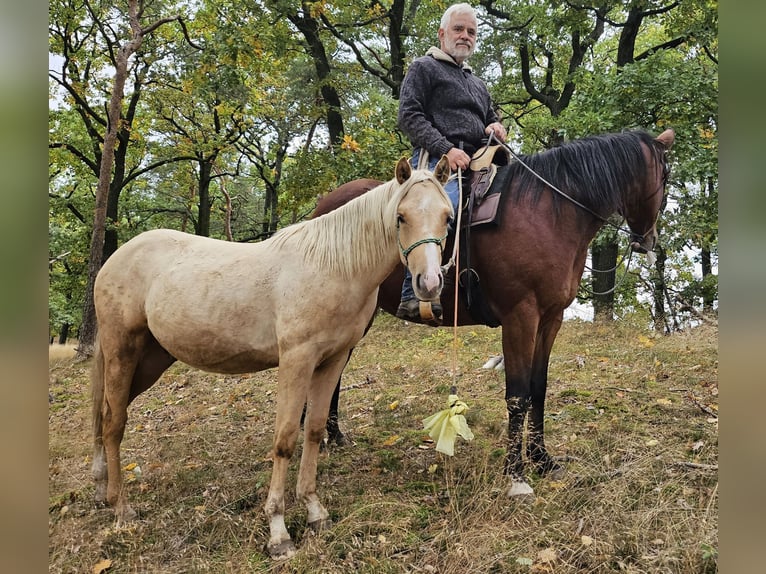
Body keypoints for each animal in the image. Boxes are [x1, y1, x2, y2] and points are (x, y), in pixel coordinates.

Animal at [90, 156, 453, 559]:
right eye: (401, 216)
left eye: (447, 217)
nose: (429, 284)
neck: (332, 266)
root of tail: (115, 260)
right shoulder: (296, 360)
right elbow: (285, 440)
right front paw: (279, 532)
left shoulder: (332, 360)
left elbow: (314, 431)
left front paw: (314, 512)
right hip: (122, 350)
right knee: (114, 423)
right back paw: (121, 509)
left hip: (151, 360)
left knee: (104, 416)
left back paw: (102, 490)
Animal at [313, 129, 675, 498]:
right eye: (665, 176)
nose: (648, 240)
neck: (549, 213)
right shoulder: (520, 317)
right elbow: (518, 394)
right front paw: (516, 474)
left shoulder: (550, 319)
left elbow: (538, 388)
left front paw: (542, 460)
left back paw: (333, 435)